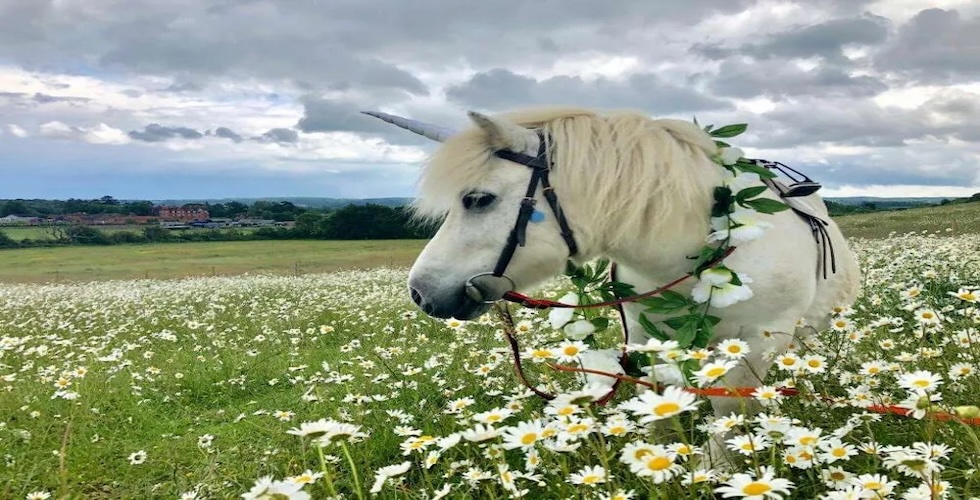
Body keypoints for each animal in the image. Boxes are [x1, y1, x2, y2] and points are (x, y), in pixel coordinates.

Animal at [364, 106, 861, 465]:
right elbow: (657, 405)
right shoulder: (646, 335)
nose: (421, 292)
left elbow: (729, 415)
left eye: (478, 199)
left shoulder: (760, 342)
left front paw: (714, 469)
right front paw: (662, 462)